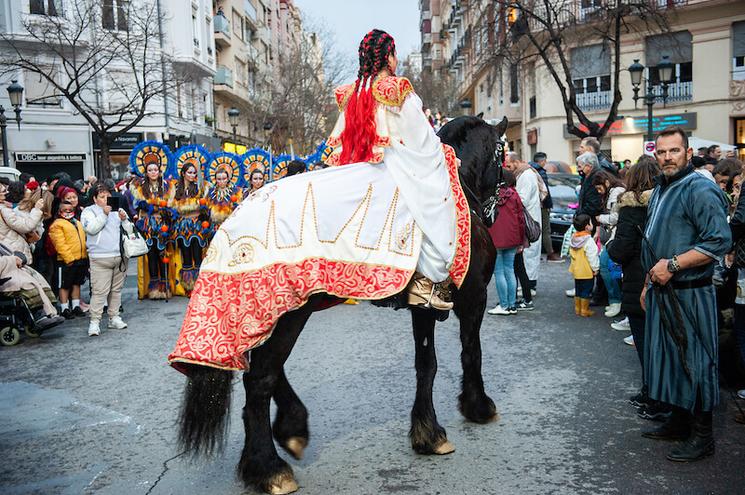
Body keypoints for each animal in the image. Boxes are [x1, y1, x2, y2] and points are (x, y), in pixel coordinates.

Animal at [177, 115, 508, 495]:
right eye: (503, 155)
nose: (500, 198)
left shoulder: (424, 305)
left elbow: (426, 364)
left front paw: (427, 433)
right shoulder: (474, 297)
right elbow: (471, 352)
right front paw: (478, 406)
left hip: (274, 313)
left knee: (262, 370)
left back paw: (290, 430)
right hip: (288, 311)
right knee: (260, 379)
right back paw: (269, 468)